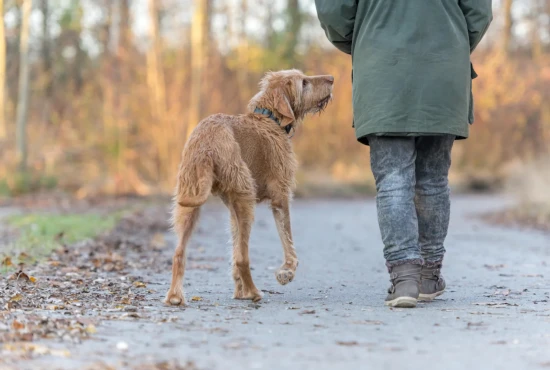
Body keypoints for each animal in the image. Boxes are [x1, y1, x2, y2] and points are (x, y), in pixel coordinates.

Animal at [165, 70, 336, 306]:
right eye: (304, 82)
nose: (331, 78)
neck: (270, 118)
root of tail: (206, 145)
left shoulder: (232, 208)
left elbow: (235, 244)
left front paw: (240, 291)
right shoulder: (280, 196)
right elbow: (288, 240)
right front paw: (286, 272)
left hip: (190, 200)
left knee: (180, 252)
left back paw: (175, 296)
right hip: (245, 198)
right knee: (242, 257)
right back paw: (255, 292)